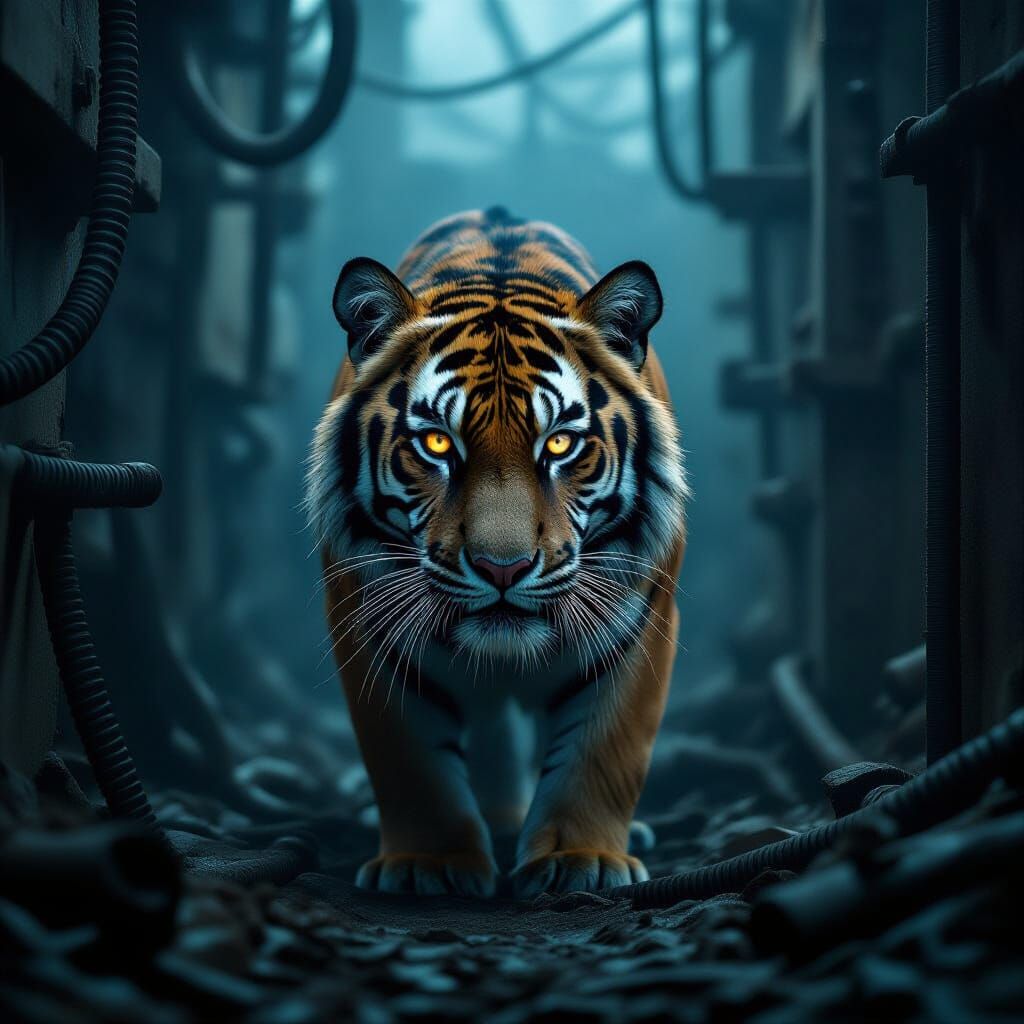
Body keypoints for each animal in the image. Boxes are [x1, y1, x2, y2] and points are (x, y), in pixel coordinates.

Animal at [307, 207, 688, 898]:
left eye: (560, 444)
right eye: (436, 442)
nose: (501, 568)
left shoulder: (642, 620)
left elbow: (605, 749)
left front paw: (582, 859)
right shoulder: (366, 621)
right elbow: (407, 758)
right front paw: (428, 865)